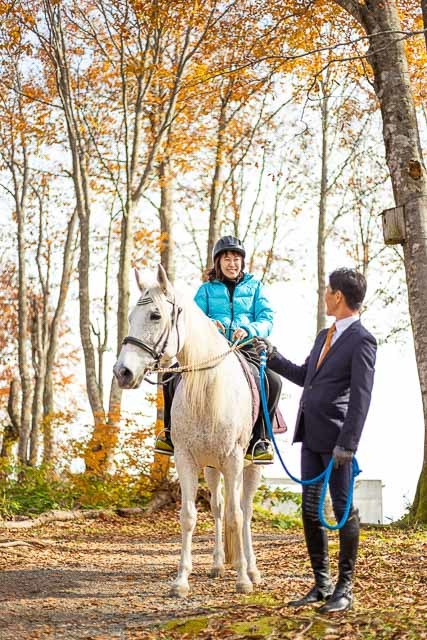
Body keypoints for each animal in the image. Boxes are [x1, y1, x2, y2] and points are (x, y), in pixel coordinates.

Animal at [113, 264, 262, 596]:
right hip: (212, 467)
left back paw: (252, 569)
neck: (208, 391)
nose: (122, 372)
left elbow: (237, 516)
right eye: (130, 316)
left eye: (155, 315)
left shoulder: (234, 459)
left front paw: (243, 580)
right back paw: (218, 565)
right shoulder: (185, 459)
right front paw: (181, 580)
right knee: (218, 508)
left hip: (251, 466)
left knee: (244, 512)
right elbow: (189, 516)